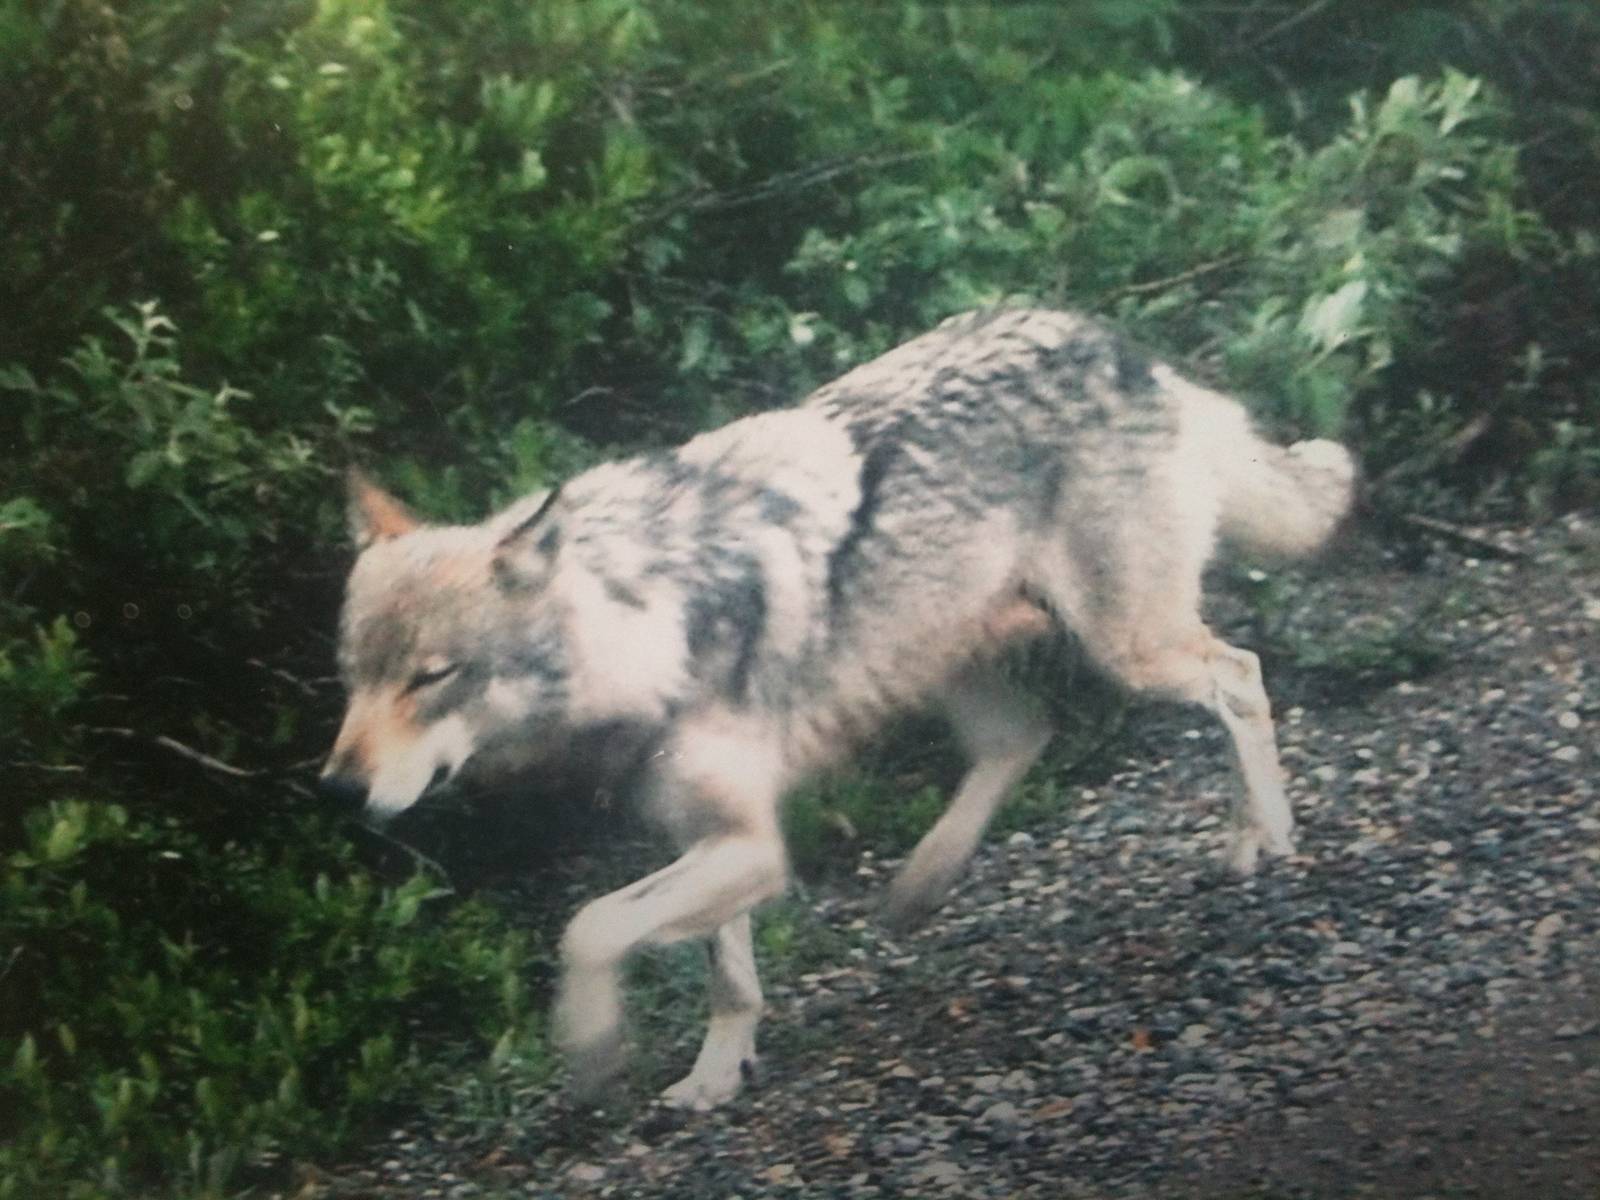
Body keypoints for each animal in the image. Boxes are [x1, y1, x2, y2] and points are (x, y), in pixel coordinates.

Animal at [320, 307, 1354, 1110]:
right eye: (352, 677)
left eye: (430, 677)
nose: (335, 789)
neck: (641, 624)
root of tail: (1119, 343)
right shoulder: (709, 836)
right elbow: (724, 976)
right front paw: (713, 1077)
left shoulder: (750, 846)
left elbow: (591, 927)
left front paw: (592, 1044)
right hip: (951, 665)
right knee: (1023, 737)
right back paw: (922, 885)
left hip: (1131, 649)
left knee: (1240, 676)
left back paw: (1263, 834)